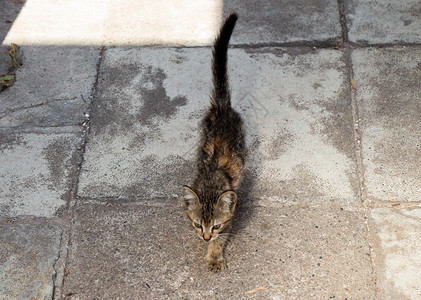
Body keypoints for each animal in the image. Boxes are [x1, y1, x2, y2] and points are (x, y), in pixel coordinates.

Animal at [181, 13, 246, 272]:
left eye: (215, 226)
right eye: (198, 224)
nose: (205, 237)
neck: (210, 183)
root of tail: (221, 107)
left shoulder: (230, 217)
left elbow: (222, 239)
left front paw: (214, 256)